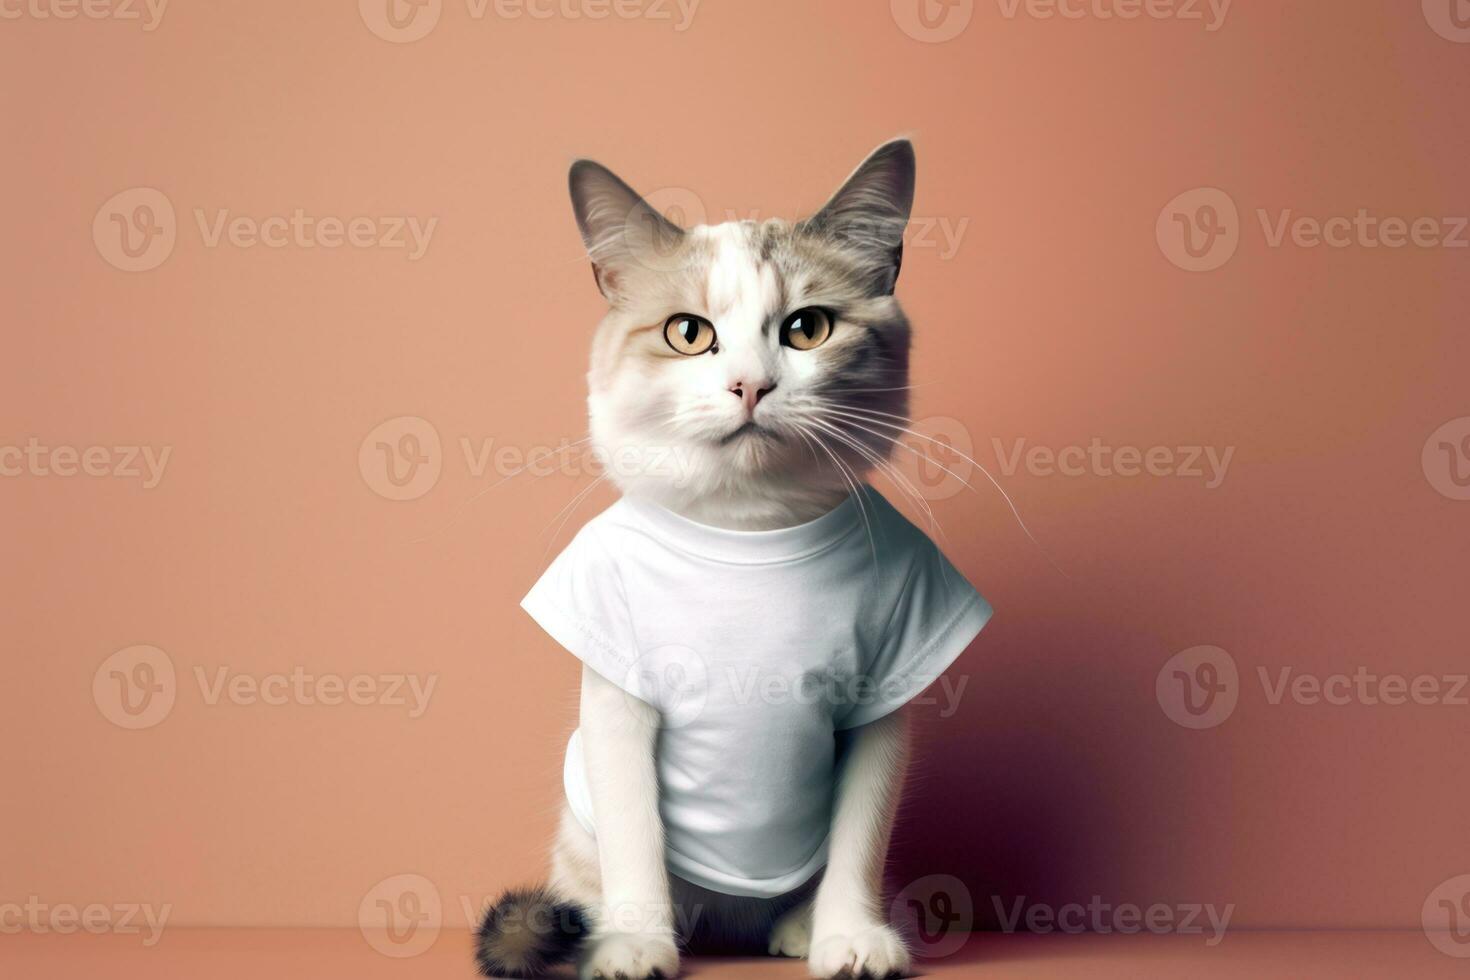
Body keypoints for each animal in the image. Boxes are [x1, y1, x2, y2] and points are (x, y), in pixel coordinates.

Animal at [476, 139, 993, 980]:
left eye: (808, 328)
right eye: (688, 334)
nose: (750, 385)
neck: (749, 534)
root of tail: (727, 922)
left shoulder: (880, 702)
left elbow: (859, 843)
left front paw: (848, 937)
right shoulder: (618, 704)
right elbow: (635, 837)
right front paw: (635, 945)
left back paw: (797, 928)